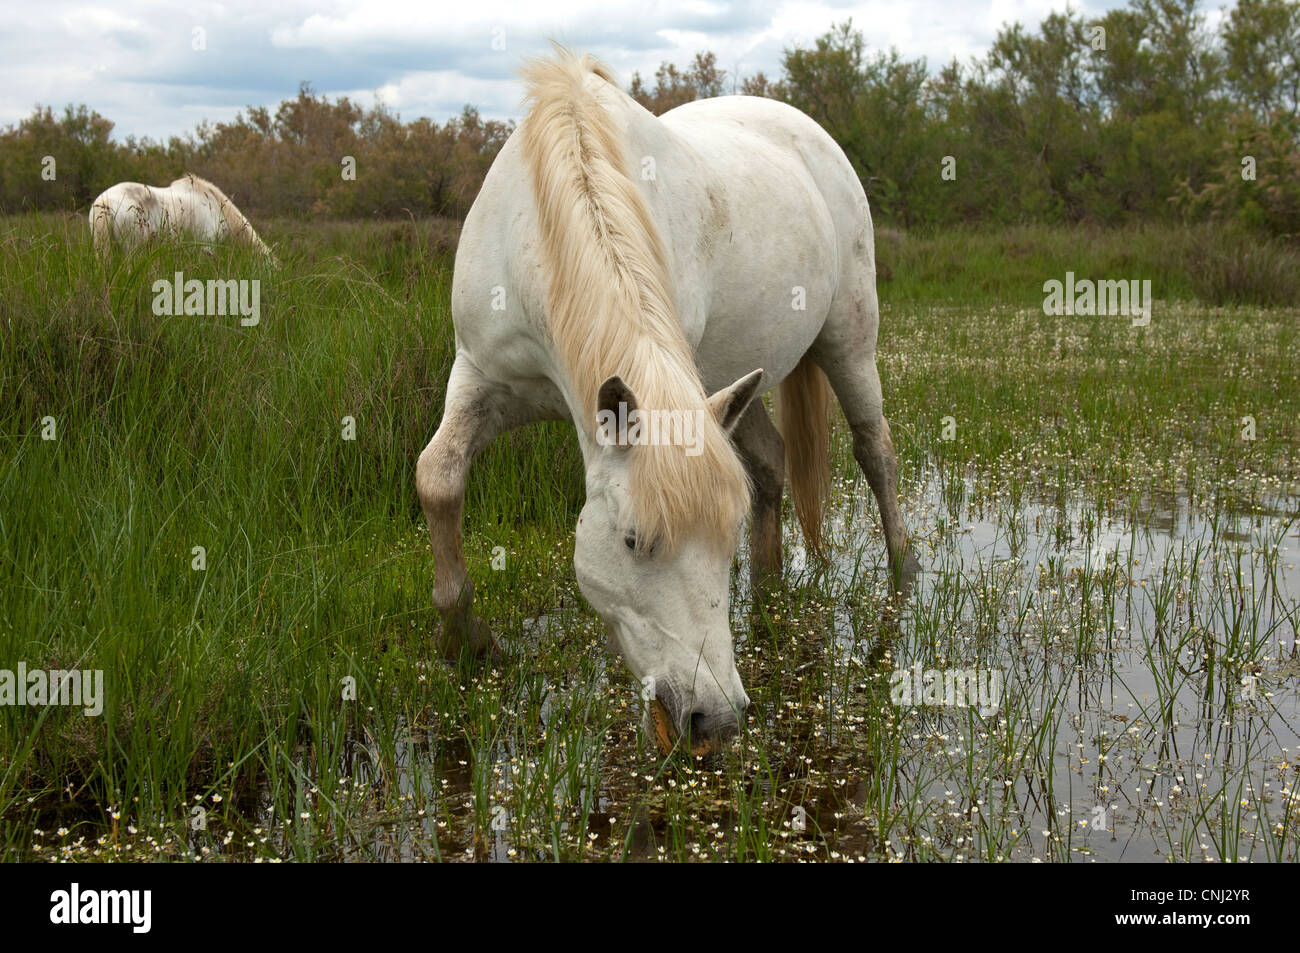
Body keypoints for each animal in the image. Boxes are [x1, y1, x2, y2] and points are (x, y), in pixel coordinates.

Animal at [416, 52, 915, 754]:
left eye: (721, 541)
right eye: (635, 542)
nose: (718, 718)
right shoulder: (481, 376)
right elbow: (438, 479)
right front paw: (465, 641)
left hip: (848, 342)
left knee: (876, 452)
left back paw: (903, 572)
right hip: (735, 386)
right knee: (771, 463)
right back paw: (768, 588)